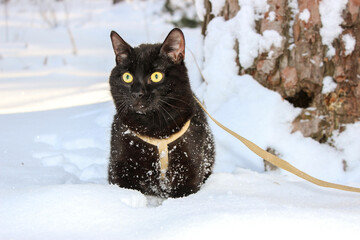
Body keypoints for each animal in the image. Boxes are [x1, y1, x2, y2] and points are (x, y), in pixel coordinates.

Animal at [107, 28, 214, 198]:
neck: (154, 129)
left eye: (156, 76)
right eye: (127, 77)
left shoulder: (189, 171)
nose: (137, 93)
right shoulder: (118, 167)